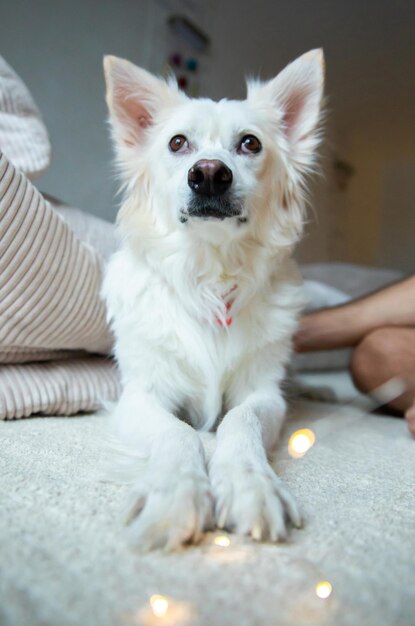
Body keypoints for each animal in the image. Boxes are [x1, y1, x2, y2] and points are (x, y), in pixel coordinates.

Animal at [101, 47, 324, 544]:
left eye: (251, 144)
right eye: (177, 143)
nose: (208, 174)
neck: (210, 273)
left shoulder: (263, 395)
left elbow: (240, 423)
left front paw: (250, 485)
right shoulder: (140, 396)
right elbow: (178, 433)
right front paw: (173, 493)